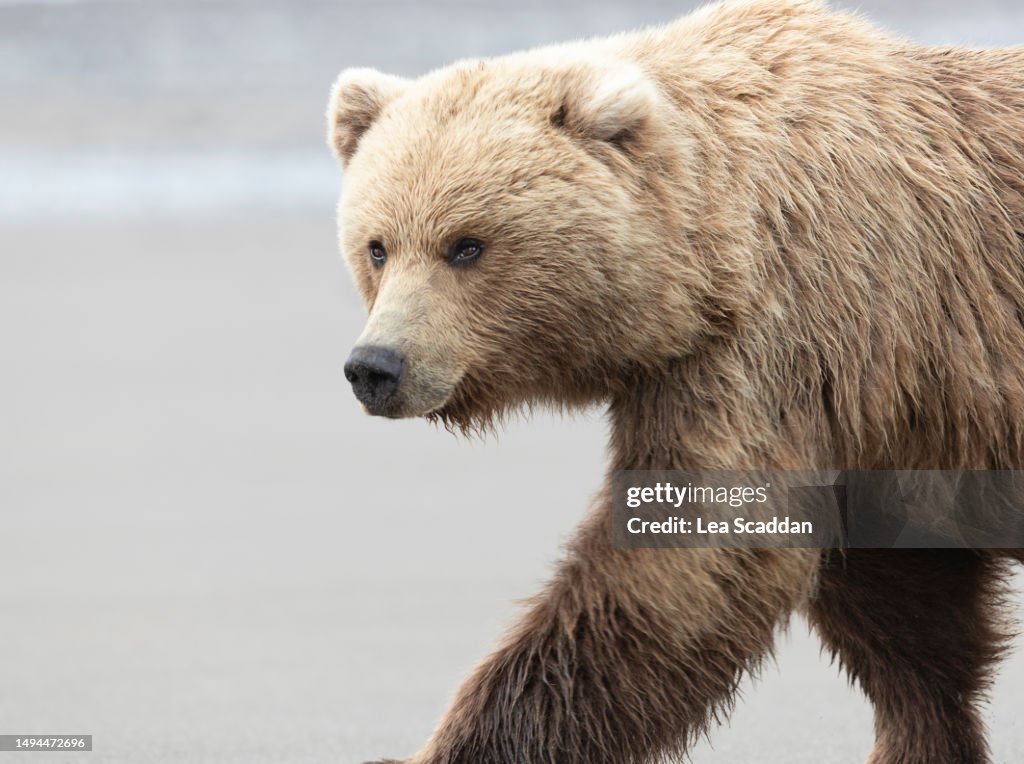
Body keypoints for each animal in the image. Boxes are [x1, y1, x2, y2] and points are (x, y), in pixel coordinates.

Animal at [327, 0, 1024, 762]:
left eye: (466, 245)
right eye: (377, 247)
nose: (377, 366)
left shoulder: (780, 339)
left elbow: (683, 562)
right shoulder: (876, 415)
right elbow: (909, 616)